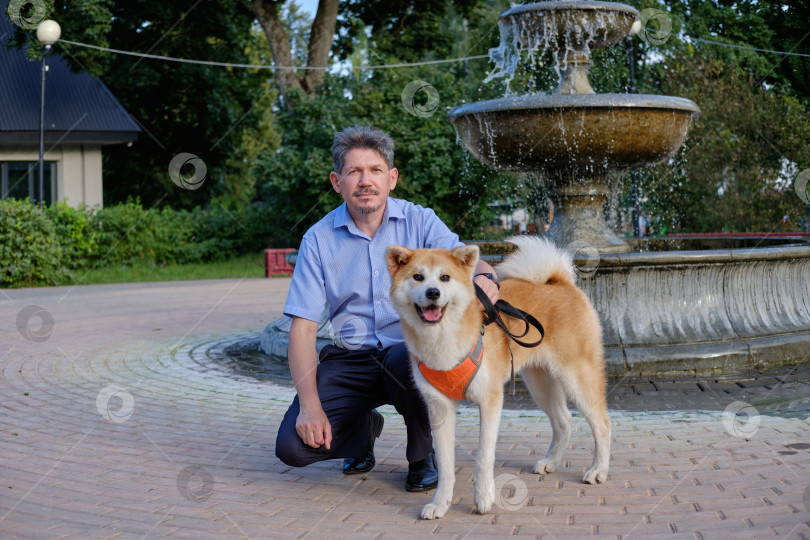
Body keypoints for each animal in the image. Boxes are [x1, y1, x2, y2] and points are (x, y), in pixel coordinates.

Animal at [386, 236, 608, 520]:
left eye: (445, 277)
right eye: (418, 277)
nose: (433, 293)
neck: (444, 339)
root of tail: (558, 282)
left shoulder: (490, 400)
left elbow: (484, 457)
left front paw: (484, 498)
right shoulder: (439, 407)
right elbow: (445, 465)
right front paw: (441, 504)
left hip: (577, 378)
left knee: (602, 424)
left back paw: (599, 470)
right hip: (540, 383)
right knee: (564, 420)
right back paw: (550, 461)